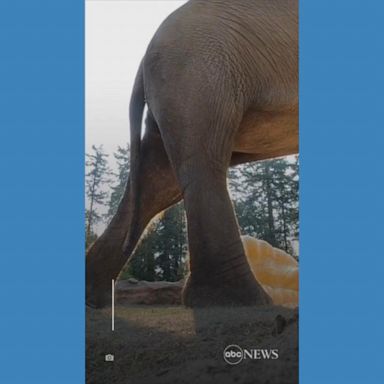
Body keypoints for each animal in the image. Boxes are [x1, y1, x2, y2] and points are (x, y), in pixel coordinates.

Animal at [86, 0, 296, 308]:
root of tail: (144, 56)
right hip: (201, 77)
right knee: (200, 166)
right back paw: (240, 302)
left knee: (159, 179)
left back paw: (92, 296)